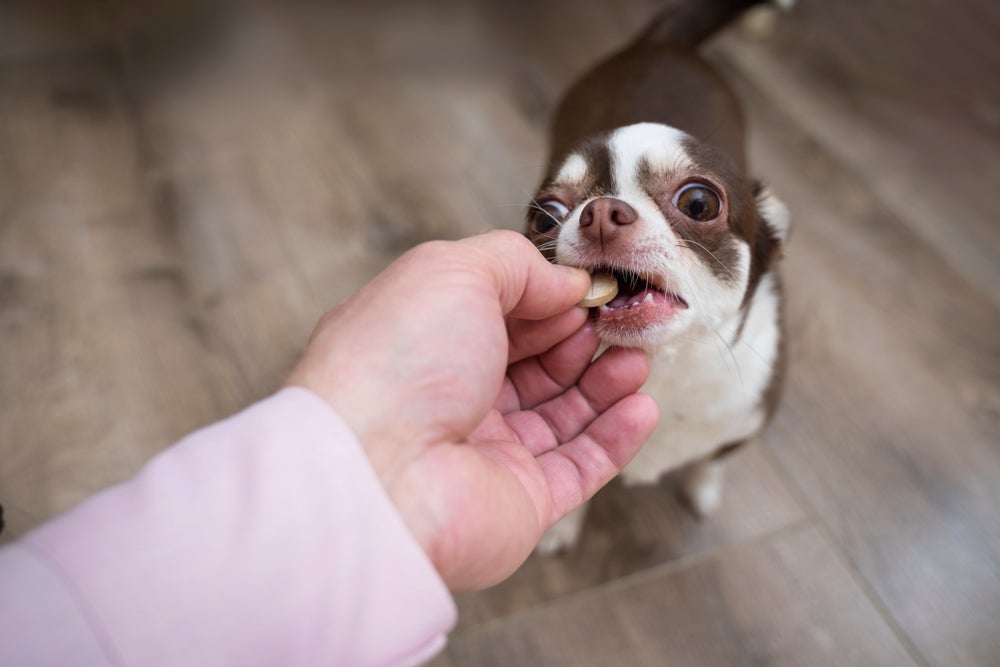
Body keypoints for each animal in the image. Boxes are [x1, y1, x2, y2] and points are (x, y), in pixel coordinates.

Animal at [528, 0, 792, 552]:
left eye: (700, 203)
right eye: (544, 218)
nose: (600, 212)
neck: (662, 368)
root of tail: (667, 41)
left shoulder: (746, 424)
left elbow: (710, 459)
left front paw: (704, 486)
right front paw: (562, 524)